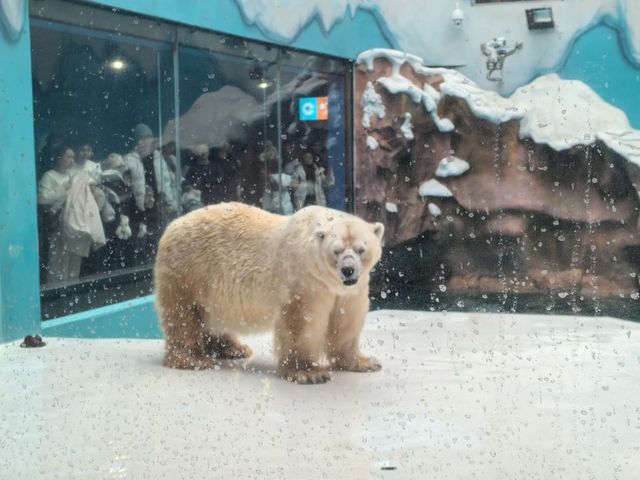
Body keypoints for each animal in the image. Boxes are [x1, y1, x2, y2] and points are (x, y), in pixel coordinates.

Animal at [155, 201, 384, 384]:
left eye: (361, 249)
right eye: (336, 251)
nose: (348, 270)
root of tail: (170, 226)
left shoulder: (348, 293)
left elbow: (346, 322)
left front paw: (365, 362)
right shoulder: (303, 281)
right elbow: (302, 323)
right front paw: (309, 372)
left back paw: (234, 348)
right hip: (189, 272)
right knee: (183, 316)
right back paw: (193, 359)